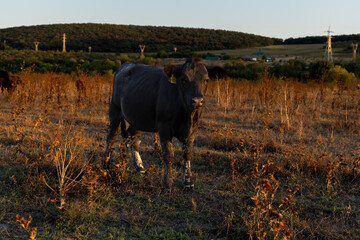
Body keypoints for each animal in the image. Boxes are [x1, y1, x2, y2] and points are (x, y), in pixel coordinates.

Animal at [105, 58, 219, 189]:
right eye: (184, 80)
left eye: (206, 80)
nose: (197, 101)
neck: (186, 115)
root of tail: (126, 65)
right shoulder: (164, 127)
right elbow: (168, 154)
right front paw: (168, 184)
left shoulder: (194, 128)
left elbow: (187, 153)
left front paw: (188, 182)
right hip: (115, 109)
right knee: (111, 136)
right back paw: (106, 165)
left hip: (138, 118)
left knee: (132, 138)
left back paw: (138, 166)